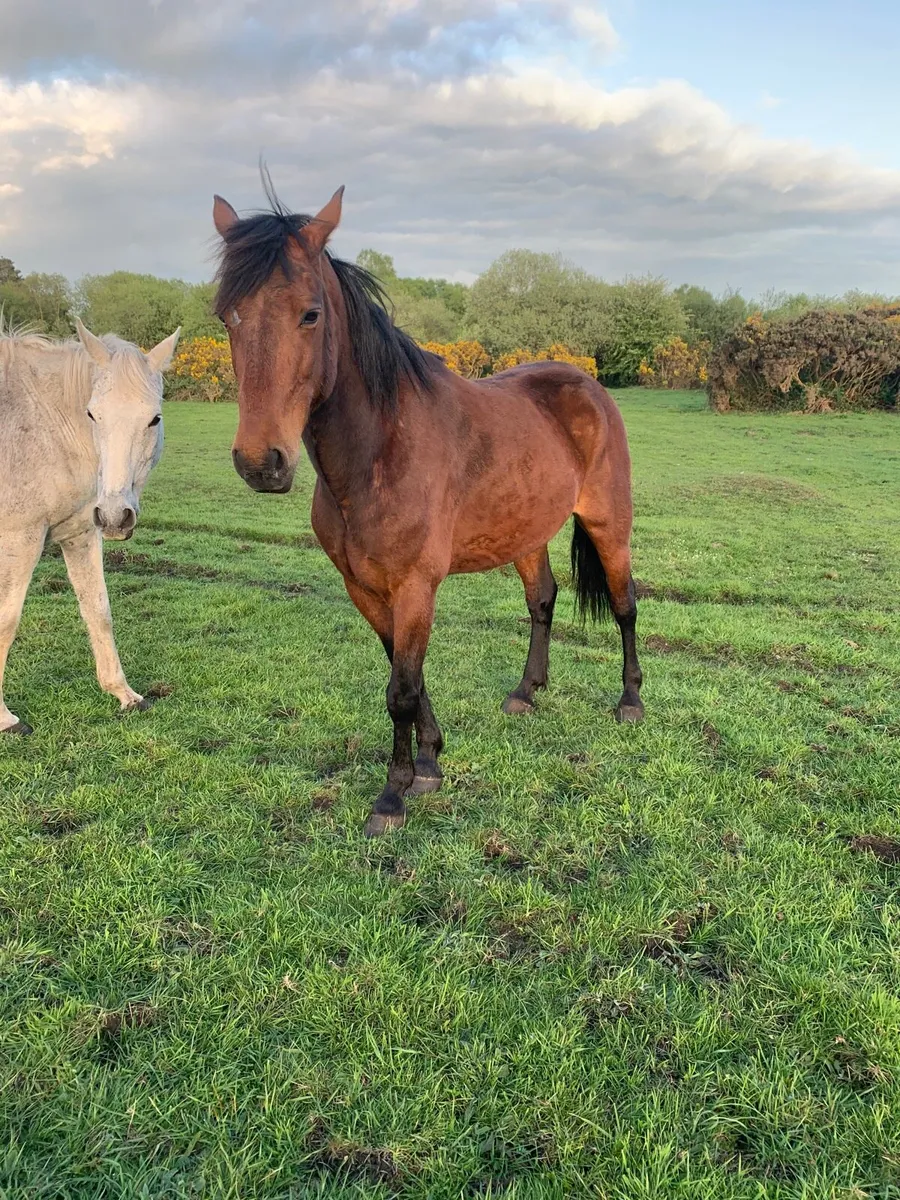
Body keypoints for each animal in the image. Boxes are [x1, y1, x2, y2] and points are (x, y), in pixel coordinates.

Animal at [0, 320, 180, 733]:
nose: (115, 516)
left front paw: (124, 694)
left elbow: (98, 611)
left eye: (154, 419)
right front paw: (4, 719)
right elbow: (6, 622)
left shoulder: (80, 534)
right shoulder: (20, 538)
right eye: (92, 415)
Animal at [212, 183, 643, 837]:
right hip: (524, 534)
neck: (380, 451)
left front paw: (394, 794)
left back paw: (631, 701)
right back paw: (526, 692)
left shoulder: (416, 585)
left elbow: (401, 690)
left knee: (624, 606)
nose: (262, 462)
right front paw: (430, 760)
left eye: (311, 314)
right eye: (226, 315)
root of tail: (585, 383)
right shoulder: (365, 586)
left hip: (607, 523)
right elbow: (402, 670)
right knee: (542, 601)